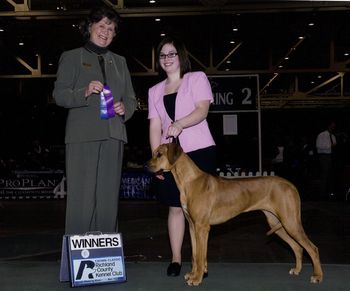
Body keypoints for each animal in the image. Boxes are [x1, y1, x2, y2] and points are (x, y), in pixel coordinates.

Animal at [147, 144, 322, 288]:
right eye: (154, 153)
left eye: (159, 154)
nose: (146, 166)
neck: (190, 181)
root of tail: (290, 184)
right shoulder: (192, 226)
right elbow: (195, 255)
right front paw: (193, 274)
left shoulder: (202, 227)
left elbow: (200, 255)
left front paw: (197, 279)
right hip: (277, 223)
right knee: (298, 247)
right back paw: (297, 270)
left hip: (290, 222)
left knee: (312, 248)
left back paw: (317, 276)